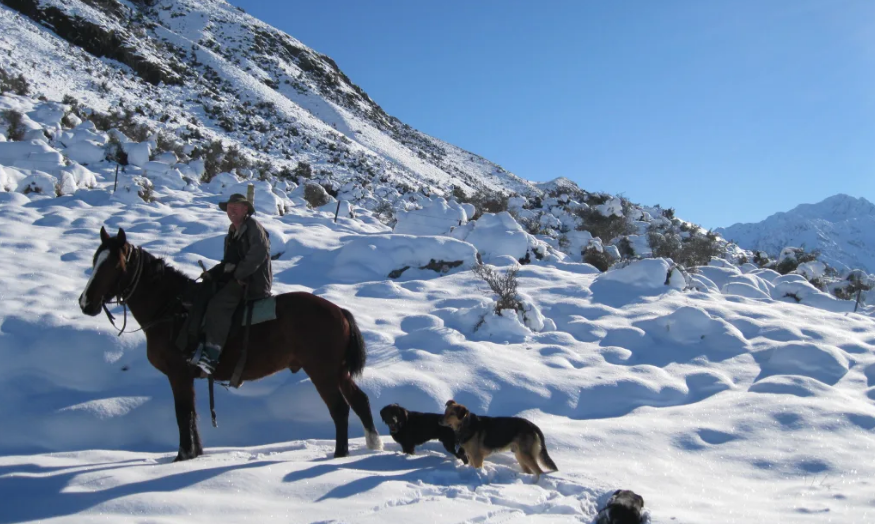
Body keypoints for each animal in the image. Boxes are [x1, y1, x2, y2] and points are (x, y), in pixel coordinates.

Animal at [79, 227, 384, 460]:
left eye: (113, 265)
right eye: (94, 261)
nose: (85, 303)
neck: (172, 309)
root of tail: (339, 312)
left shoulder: (178, 375)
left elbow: (183, 415)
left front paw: (183, 456)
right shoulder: (186, 377)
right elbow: (192, 415)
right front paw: (195, 454)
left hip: (322, 372)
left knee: (340, 409)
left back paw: (339, 455)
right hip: (338, 371)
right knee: (360, 400)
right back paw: (372, 443)